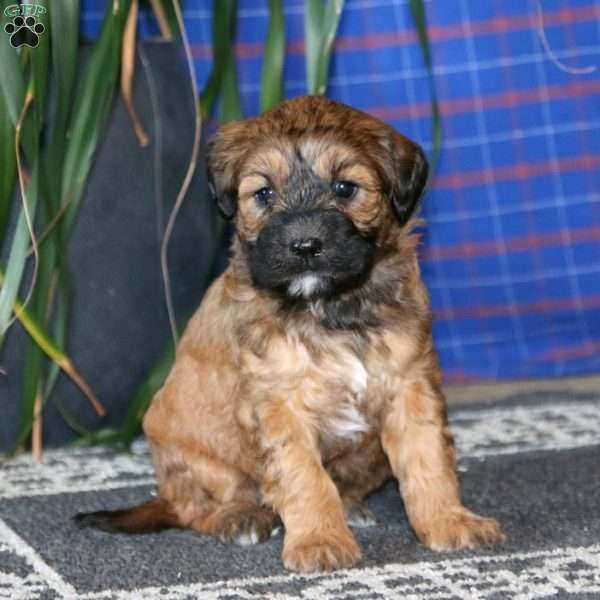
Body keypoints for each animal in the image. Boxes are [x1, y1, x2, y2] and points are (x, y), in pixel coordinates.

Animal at [76, 97, 506, 572]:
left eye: (345, 188)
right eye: (263, 194)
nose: (304, 246)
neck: (330, 308)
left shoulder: (410, 384)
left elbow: (429, 457)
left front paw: (449, 521)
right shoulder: (280, 404)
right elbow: (303, 477)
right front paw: (319, 539)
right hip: (187, 449)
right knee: (194, 505)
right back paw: (238, 516)